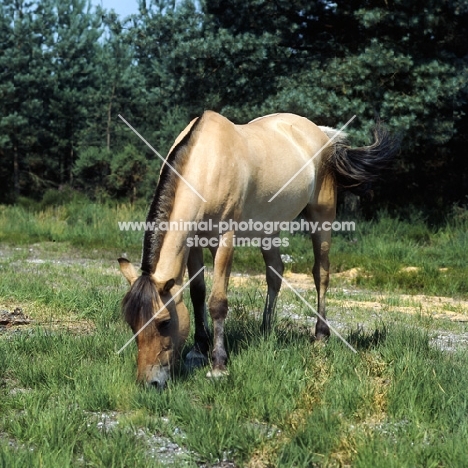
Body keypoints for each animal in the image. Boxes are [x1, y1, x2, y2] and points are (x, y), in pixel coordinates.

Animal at [118, 110, 398, 388]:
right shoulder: (193, 242)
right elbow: (198, 293)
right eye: (131, 323)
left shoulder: (225, 240)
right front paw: (198, 349)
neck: (208, 164)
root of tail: (322, 135)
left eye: (164, 322)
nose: (149, 382)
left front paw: (218, 364)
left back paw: (320, 335)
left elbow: (217, 301)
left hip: (322, 217)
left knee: (321, 273)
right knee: (276, 272)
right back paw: (265, 330)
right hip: (269, 228)